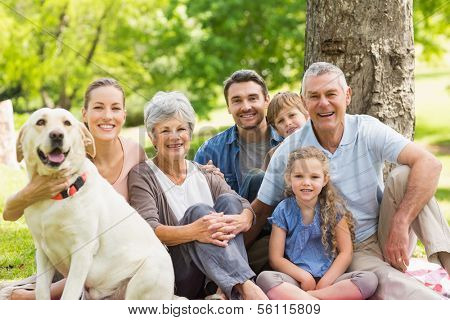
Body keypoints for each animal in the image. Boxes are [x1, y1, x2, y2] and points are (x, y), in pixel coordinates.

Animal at [15, 108, 175, 300]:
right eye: (40, 122)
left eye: (67, 123)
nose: (57, 135)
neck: (57, 196)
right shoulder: (43, 250)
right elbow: (40, 290)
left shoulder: (82, 253)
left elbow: (68, 295)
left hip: (144, 278)